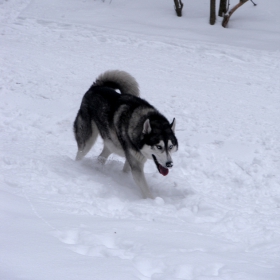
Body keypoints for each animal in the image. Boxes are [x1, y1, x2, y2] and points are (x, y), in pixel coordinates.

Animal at [72, 70, 177, 199]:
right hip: (88, 140)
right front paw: (153, 201)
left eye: (170, 147)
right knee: (80, 153)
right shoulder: (136, 163)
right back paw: (78, 166)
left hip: (112, 143)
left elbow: (126, 169)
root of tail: (95, 87)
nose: (169, 164)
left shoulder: (134, 157)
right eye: (159, 147)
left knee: (101, 156)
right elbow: (145, 189)